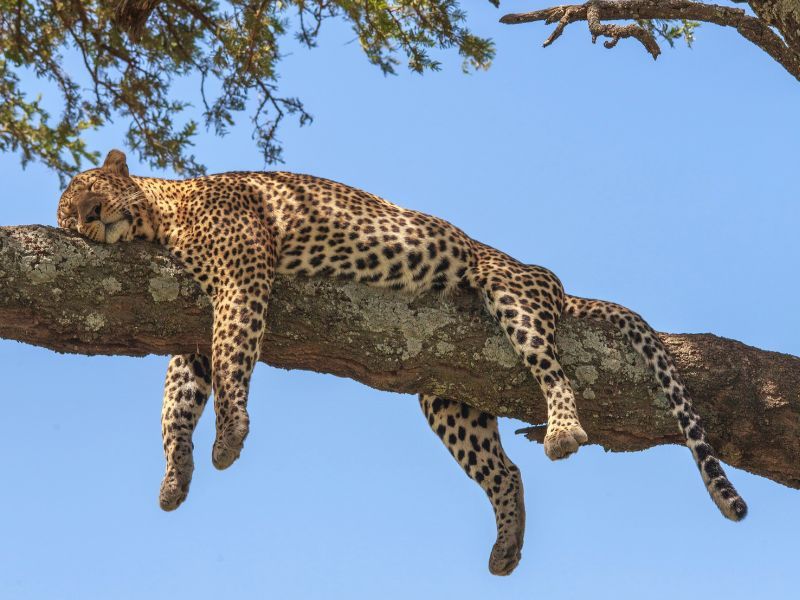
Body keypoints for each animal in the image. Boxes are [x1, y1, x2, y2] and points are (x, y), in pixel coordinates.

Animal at [57, 150, 747, 576]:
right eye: (68, 216)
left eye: (91, 191)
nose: (89, 218)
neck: (161, 214)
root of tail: (552, 280)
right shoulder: (190, 320)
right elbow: (180, 394)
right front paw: (175, 476)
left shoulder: (241, 275)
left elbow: (233, 356)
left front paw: (229, 437)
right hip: (449, 393)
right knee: (505, 471)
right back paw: (507, 546)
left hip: (513, 295)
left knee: (553, 370)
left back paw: (564, 430)